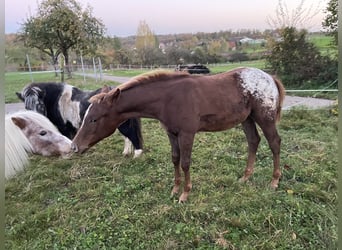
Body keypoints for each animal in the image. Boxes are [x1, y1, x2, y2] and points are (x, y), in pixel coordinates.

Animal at [15, 82, 143, 157]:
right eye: (26, 107)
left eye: (40, 105)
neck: (57, 100)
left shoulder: (64, 127)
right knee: (127, 137)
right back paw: (126, 152)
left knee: (131, 135)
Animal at [72, 67, 286, 202]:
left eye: (94, 119)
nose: (75, 146)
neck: (167, 98)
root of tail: (270, 77)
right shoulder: (171, 132)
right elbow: (175, 158)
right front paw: (175, 189)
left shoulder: (187, 133)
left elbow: (185, 162)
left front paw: (185, 194)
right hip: (247, 118)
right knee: (253, 141)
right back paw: (245, 177)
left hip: (264, 117)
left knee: (274, 142)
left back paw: (274, 181)